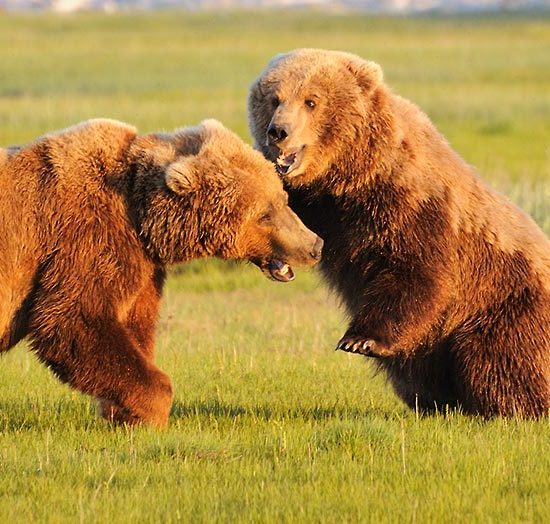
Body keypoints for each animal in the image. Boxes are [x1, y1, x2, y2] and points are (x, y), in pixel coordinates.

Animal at [0, 117, 324, 426]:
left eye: (283, 199)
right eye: (264, 214)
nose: (315, 245)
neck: (140, 215)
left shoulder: (141, 266)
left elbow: (134, 325)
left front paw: (124, 413)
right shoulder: (86, 237)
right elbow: (72, 319)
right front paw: (152, 410)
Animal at [251, 48, 550, 418]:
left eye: (311, 100)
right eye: (274, 98)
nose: (278, 131)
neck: (349, 178)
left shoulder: (412, 204)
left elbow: (413, 268)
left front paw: (360, 339)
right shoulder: (321, 208)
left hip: (505, 301)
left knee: (500, 358)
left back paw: (514, 405)